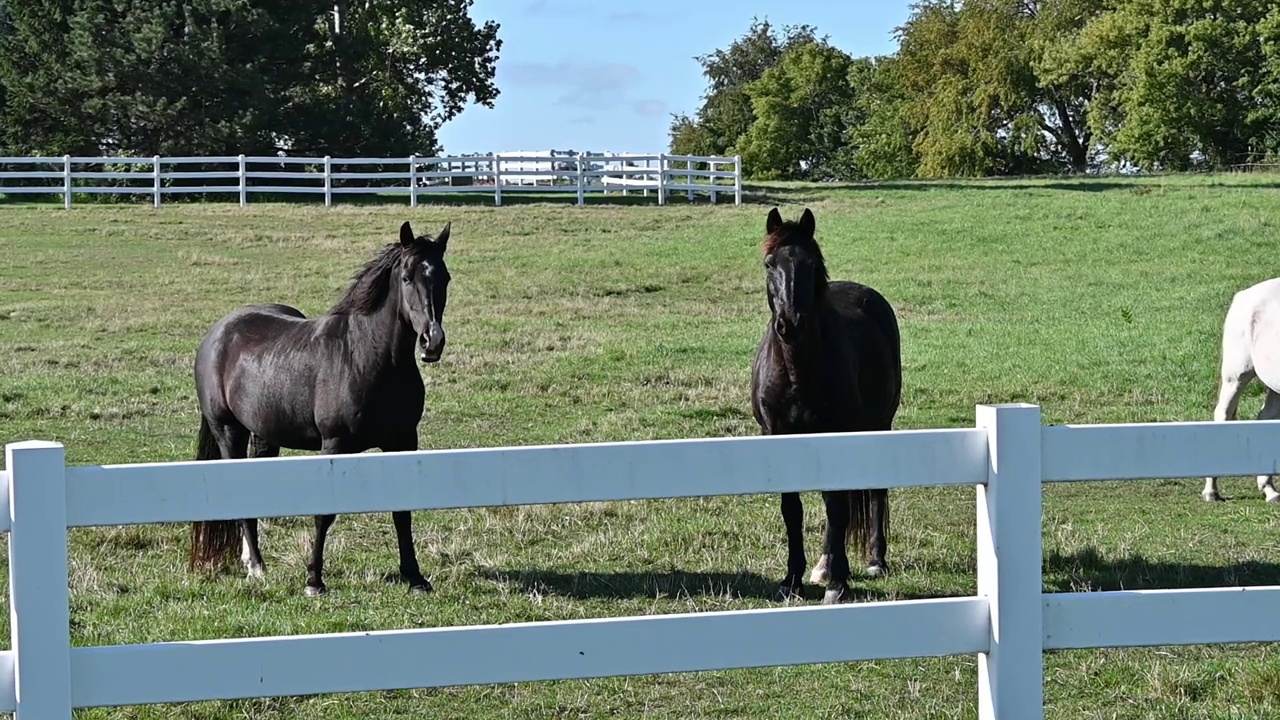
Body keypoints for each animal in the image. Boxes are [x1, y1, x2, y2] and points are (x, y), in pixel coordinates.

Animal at [186, 217, 453, 594]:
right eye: (406, 277)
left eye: (444, 277)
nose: (433, 341)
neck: (366, 357)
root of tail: (217, 333)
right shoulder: (334, 444)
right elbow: (324, 513)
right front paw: (314, 580)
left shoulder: (403, 441)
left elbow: (403, 510)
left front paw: (415, 577)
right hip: (228, 431)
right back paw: (256, 566)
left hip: (265, 436)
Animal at [747, 206, 901, 599]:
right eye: (769, 264)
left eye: (812, 264)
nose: (791, 323)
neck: (797, 369)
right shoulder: (777, 436)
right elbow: (792, 508)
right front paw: (792, 579)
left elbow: (836, 507)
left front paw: (838, 582)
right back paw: (822, 564)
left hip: (879, 425)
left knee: (872, 492)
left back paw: (874, 560)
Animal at [1203, 275, 1280, 504]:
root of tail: (1244, 294)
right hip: (1236, 376)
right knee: (1223, 415)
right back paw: (1211, 491)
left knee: (1265, 419)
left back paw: (1269, 490)